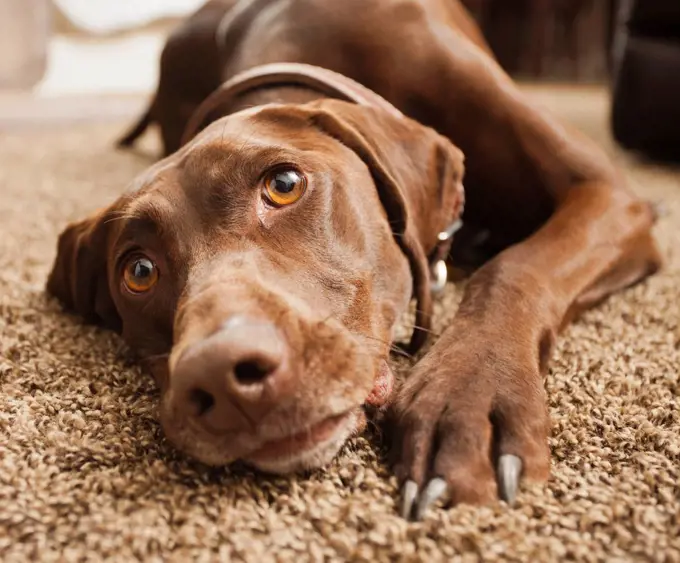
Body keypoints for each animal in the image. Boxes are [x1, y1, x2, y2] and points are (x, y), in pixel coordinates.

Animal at [49, 0, 664, 524]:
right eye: (138, 271)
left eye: (284, 184)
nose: (222, 377)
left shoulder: (607, 193)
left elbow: (510, 268)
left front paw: (469, 401)